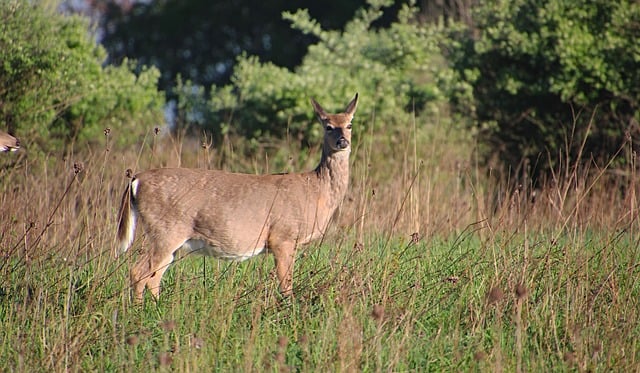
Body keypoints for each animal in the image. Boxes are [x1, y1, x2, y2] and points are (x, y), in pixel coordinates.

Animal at [117, 93, 358, 300]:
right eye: (328, 126)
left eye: (349, 125)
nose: (342, 142)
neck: (316, 190)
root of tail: (136, 180)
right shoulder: (282, 236)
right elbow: (286, 286)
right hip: (165, 230)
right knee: (139, 272)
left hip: (170, 238)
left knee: (154, 276)